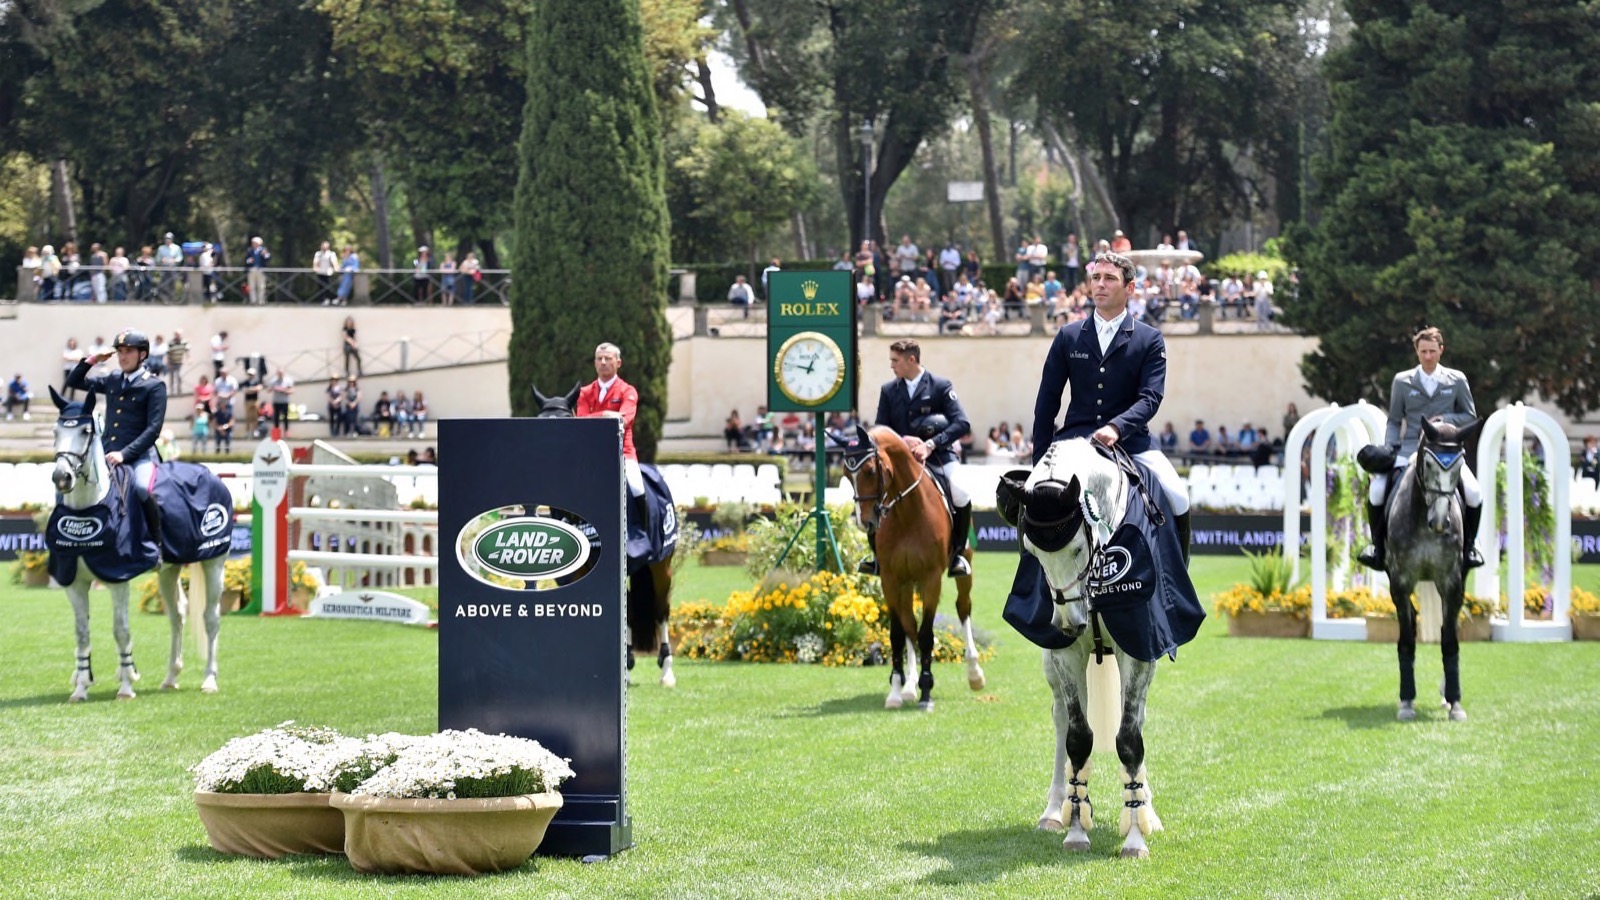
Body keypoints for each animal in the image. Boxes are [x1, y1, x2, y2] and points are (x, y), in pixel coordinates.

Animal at [49, 385, 230, 701]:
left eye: (85, 430)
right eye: (55, 431)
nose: (62, 477)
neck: (90, 508)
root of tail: (209, 473)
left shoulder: (118, 579)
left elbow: (121, 630)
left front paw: (125, 685)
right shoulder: (74, 583)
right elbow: (82, 633)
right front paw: (81, 688)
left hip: (214, 562)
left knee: (211, 618)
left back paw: (209, 680)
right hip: (170, 571)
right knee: (177, 616)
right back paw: (171, 678)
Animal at [838, 422, 985, 711]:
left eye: (870, 470)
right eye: (847, 475)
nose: (866, 523)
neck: (907, 513)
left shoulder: (931, 579)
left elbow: (926, 634)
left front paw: (926, 694)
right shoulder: (891, 580)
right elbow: (899, 633)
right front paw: (897, 691)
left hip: (963, 572)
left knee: (963, 608)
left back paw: (974, 673)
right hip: (906, 583)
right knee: (909, 624)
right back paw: (908, 687)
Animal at [992, 438, 1196, 858]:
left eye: (1075, 548)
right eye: (1032, 553)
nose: (1070, 622)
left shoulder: (1138, 648)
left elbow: (1130, 739)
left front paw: (1135, 835)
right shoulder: (1066, 654)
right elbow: (1077, 737)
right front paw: (1075, 830)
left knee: (1135, 720)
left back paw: (1148, 810)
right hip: (1052, 661)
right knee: (1061, 720)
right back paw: (1056, 809)